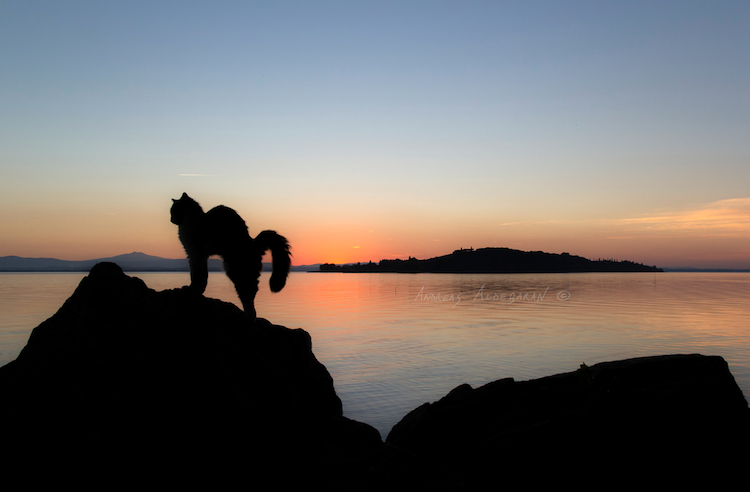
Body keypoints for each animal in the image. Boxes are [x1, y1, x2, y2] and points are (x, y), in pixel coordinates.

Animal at [170, 192, 291, 321]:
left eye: (173, 211)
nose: (171, 219)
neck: (190, 218)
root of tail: (253, 243)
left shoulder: (194, 254)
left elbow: (196, 275)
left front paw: (191, 289)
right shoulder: (202, 256)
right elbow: (203, 276)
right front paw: (199, 291)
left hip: (234, 269)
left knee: (248, 291)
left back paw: (248, 317)